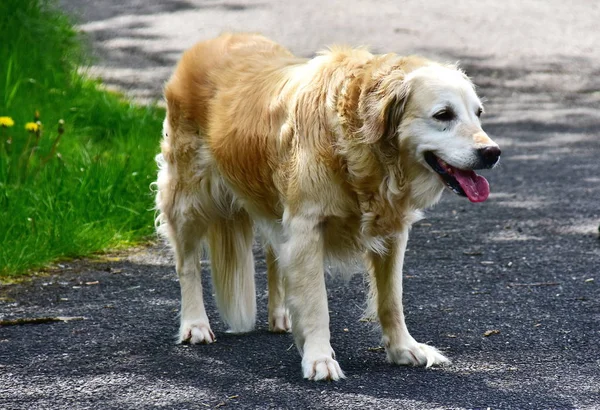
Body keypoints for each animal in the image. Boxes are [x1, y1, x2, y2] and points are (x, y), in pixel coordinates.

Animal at [154, 32, 496, 382]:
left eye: (478, 113)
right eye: (443, 115)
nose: (492, 152)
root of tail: (211, 40)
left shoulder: (393, 231)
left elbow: (392, 299)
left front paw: (404, 349)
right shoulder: (306, 228)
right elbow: (318, 302)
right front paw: (319, 358)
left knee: (274, 257)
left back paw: (281, 316)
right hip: (187, 198)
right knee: (187, 265)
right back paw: (195, 324)